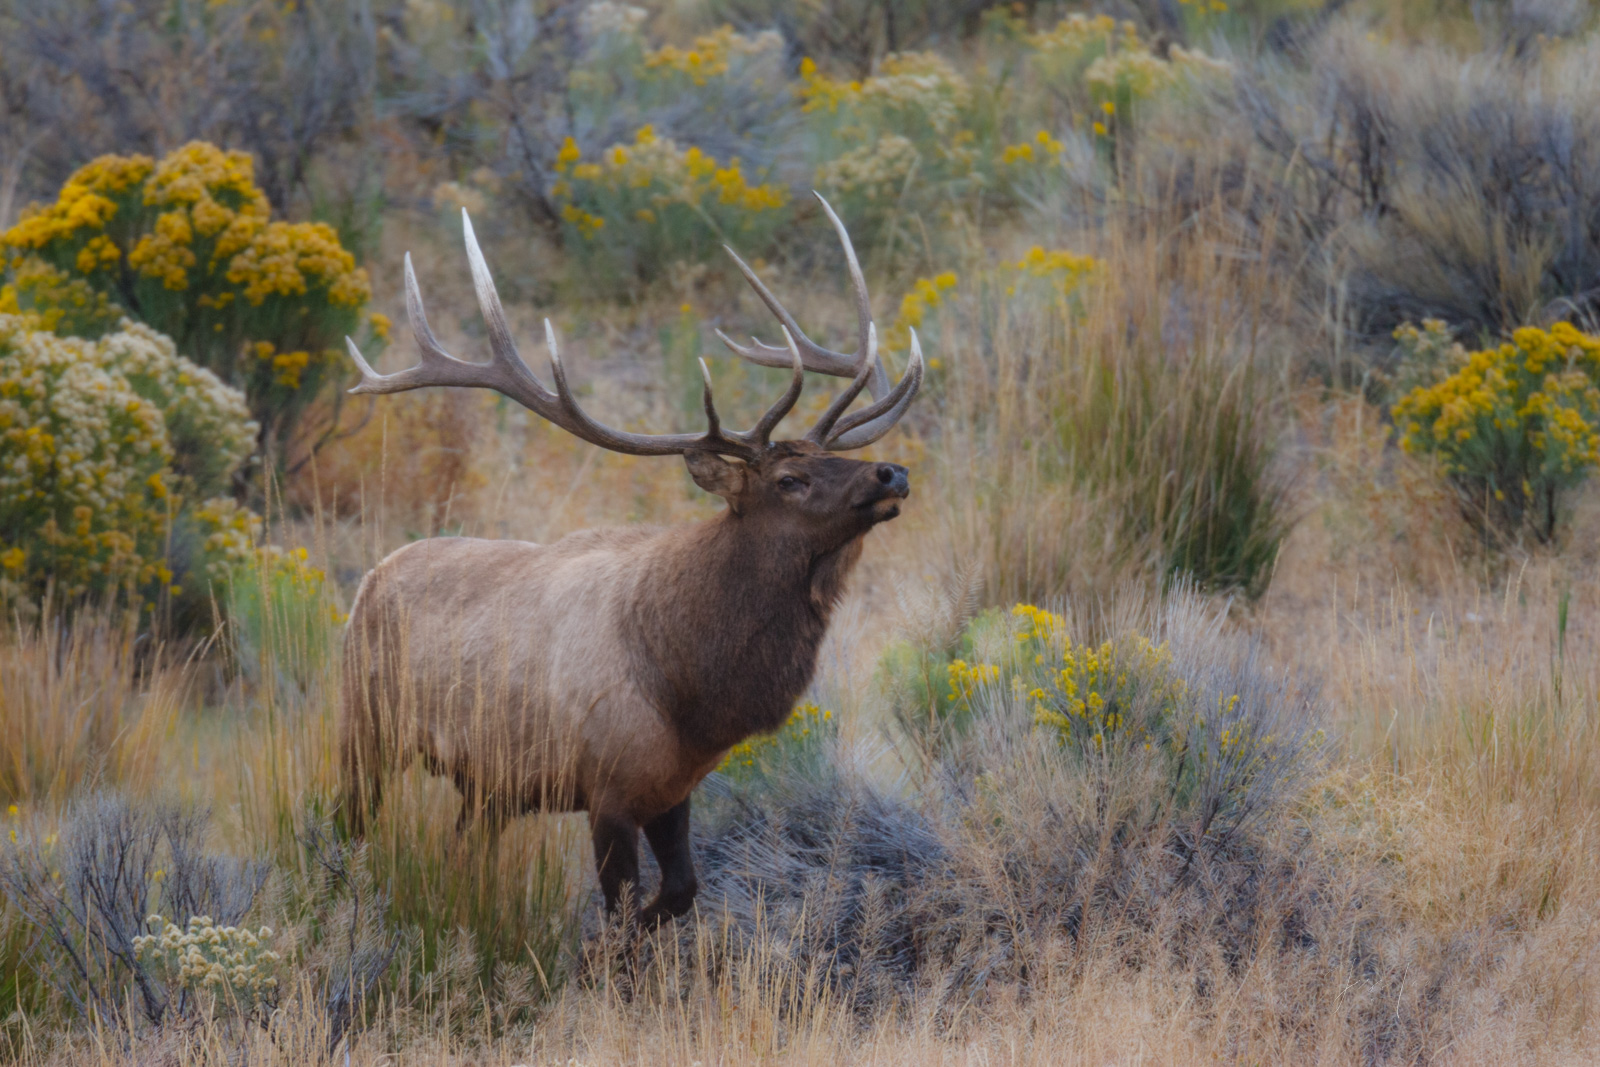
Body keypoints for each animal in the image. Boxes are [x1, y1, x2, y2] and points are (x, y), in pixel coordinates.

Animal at [337, 198, 928, 927]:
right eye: (790, 478)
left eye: (830, 458)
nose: (891, 471)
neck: (687, 691)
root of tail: (368, 582)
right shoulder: (607, 788)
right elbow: (621, 915)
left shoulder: (671, 789)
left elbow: (679, 891)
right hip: (363, 730)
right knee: (345, 830)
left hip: (486, 783)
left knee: (460, 851)